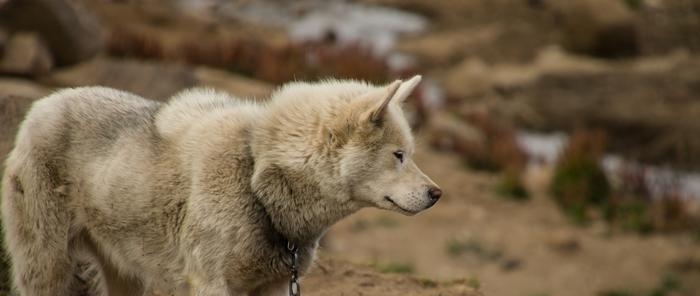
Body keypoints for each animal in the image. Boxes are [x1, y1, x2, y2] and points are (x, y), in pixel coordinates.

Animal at [2, 75, 440, 294]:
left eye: (410, 153)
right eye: (399, 155)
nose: (436, 194)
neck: (254, 178)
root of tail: (43, 103)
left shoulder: (275, 287)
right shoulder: (210, 283)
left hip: (126, 275)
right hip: (46, 267)